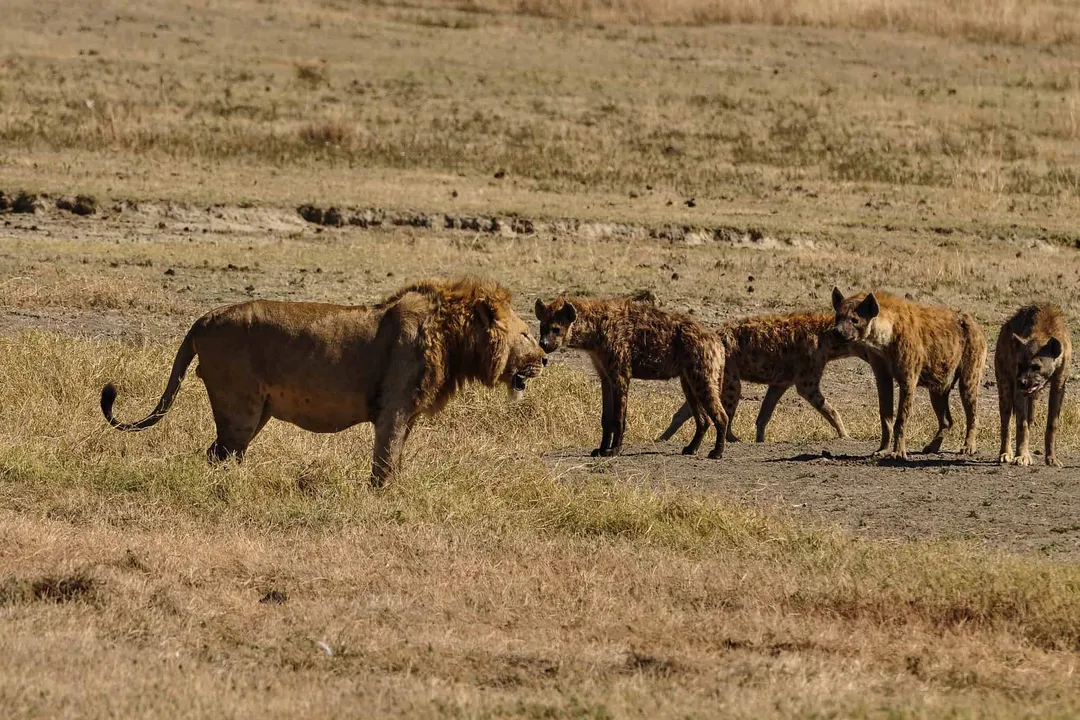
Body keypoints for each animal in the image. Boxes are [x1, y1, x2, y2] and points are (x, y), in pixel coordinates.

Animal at [100, 278, 547, 487]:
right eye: (526, 334)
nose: (545, 358)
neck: (454, 337)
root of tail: (203, 318)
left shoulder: (408, 413)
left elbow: (397, 458)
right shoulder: (394, 406)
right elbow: (384, 459)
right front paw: (380, 498)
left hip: (254, 413)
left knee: (224, 455)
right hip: (239, 408)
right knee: (217, 454)